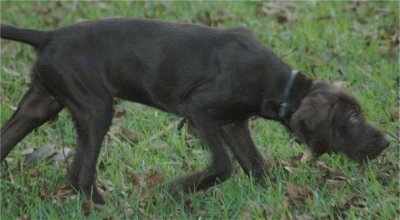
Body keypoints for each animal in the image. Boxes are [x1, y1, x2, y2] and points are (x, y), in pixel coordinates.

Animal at [0, 18, 388, 205]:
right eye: (352, 118)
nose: (386, 141)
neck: (279, 86)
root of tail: (48, 36)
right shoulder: (199, 110)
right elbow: (223, 165)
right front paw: (176, 190)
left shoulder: (233, 124)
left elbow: (255, 165)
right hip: (95, 108)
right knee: (78, 176)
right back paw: (106, 207)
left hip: (42, 103)